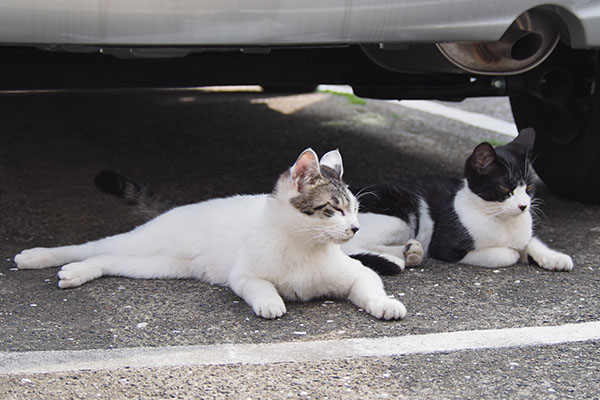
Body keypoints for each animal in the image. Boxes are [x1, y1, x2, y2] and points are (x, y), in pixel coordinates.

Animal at [15, 148, 408, 320]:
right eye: (335, 209)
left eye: (355, 210)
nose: (355, 228)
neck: (303, 247)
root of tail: (179, 208)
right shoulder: (244, 274)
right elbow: (260, 286)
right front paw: (270, 302)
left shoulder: (357, 272)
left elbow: (370, 285)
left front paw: (384, 303)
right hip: (144, 244)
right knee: (89, 245)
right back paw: (37, 257)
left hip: (158, 265)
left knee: (105, 258)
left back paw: (77, 272)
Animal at [342, 130, 572, 274]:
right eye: (505, 189)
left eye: (530, 188)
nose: (524, 206)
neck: (502, 220)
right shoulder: (446, 248)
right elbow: (507, 254)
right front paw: (516, 252)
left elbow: (531, 241)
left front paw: (555, 257)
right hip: (398, 220)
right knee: (349, 248)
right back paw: (394, 260)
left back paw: (410, 253)